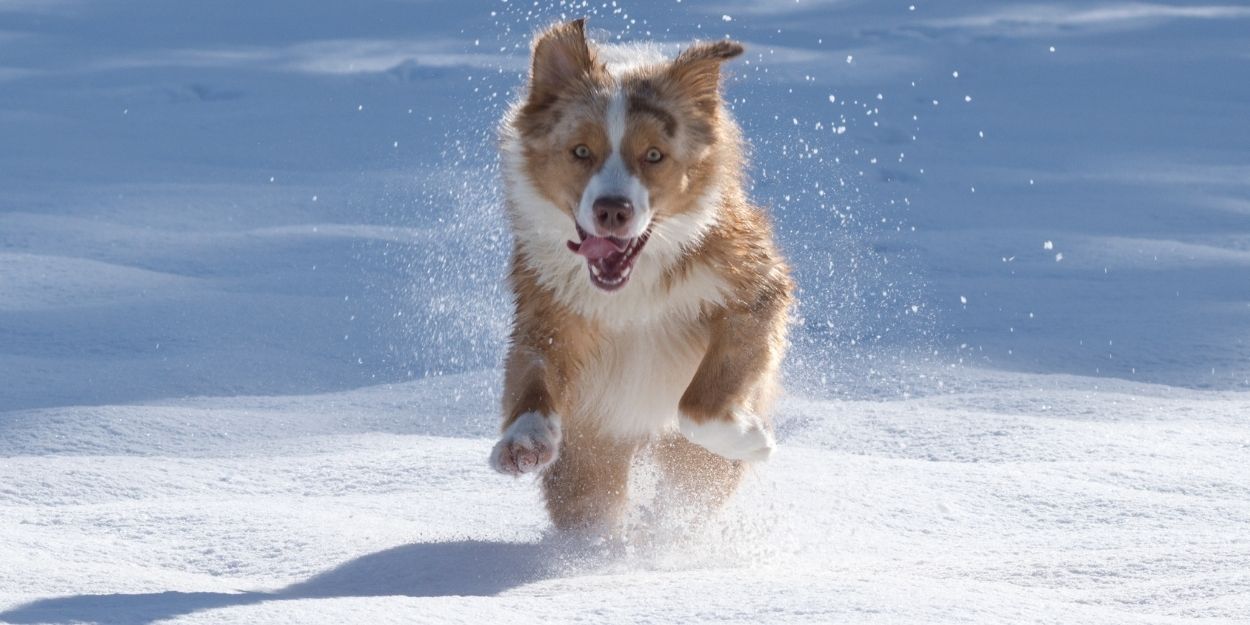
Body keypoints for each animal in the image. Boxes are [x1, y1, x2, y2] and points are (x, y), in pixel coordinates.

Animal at [487, 17, 790, 530]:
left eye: (653, 155)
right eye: (580, 151)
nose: (613, 209)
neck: (631, 289)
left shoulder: (754, 288)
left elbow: (697, 406)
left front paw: (751, 438)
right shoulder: (546, 309)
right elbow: (532, 375)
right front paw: (523, 442)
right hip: (590, 463)